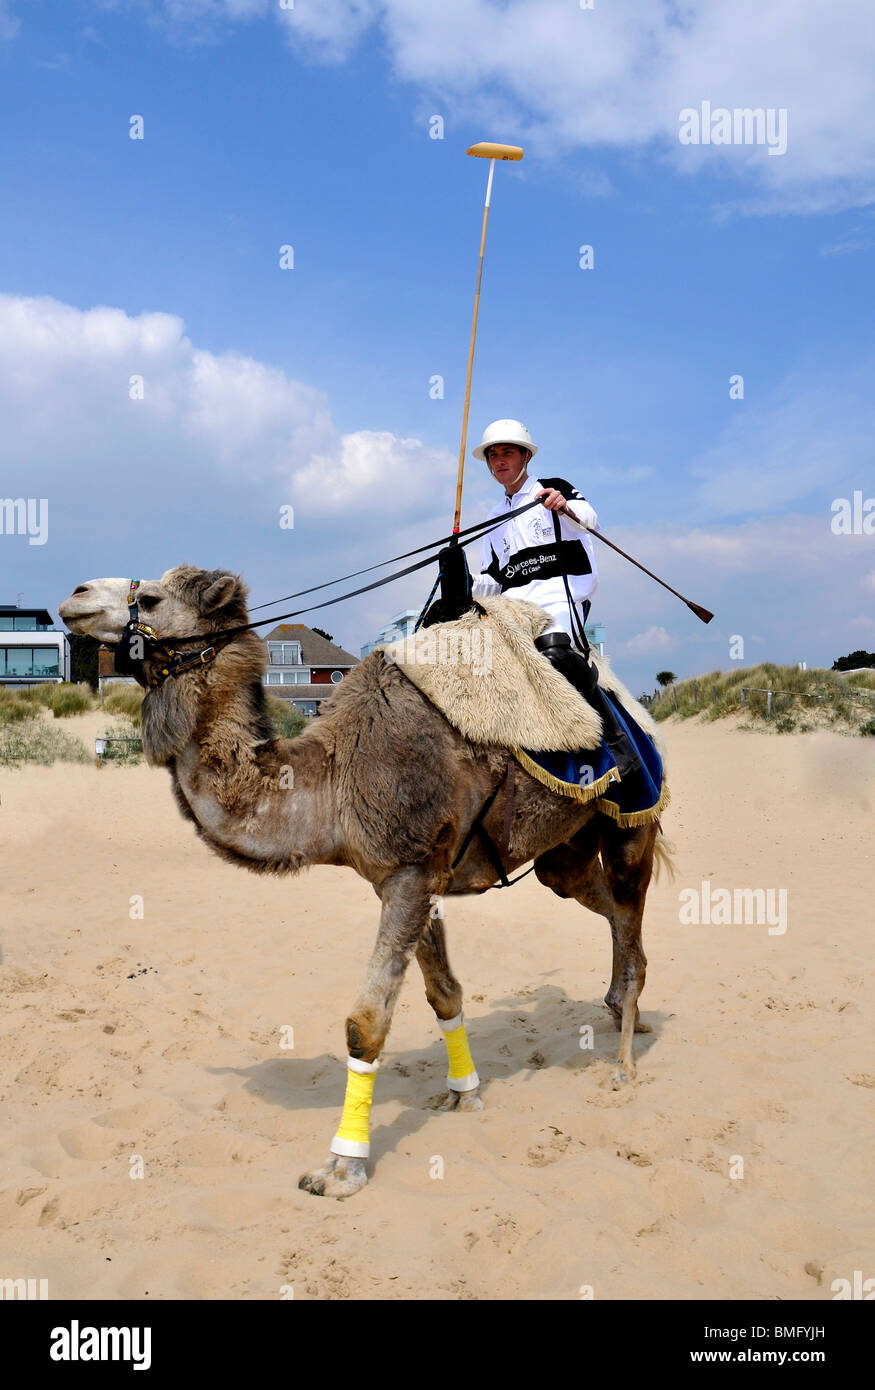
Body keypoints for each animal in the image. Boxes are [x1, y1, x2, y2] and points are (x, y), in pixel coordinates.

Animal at [59, 564, 662, 1195]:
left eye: (150, 598)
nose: (75, 595)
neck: (336, 778)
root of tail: (628, 703)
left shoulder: (412, 871)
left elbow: (364, 1023)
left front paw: (342, 1166)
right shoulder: (407, 875)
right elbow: (444, 994)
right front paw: (464, 1095)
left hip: (634, 819)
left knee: (629, 903)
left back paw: (623, 1063)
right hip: (564, 852)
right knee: (606, 906)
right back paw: (620, 1009)